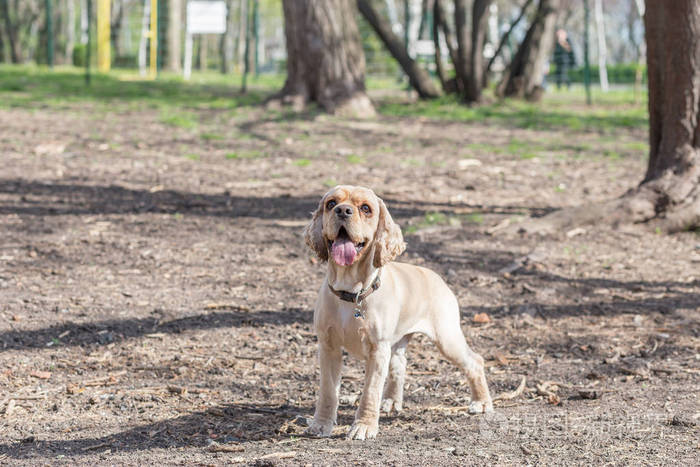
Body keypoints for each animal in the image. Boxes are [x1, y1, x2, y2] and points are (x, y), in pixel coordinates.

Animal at [302, 185, 492, 440]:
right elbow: (328, 391)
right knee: (399, 364)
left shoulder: (377, 348)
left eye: (366, 208)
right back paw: (392, 401)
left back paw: (481, 402)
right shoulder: (328, 346)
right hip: (400, 341)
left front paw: (364, 426)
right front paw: (321, 424)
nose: (343, 211)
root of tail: (437, 277)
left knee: (475, 361)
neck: (351, 292)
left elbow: (370, 392)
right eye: (331, 203)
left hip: (447, 338)